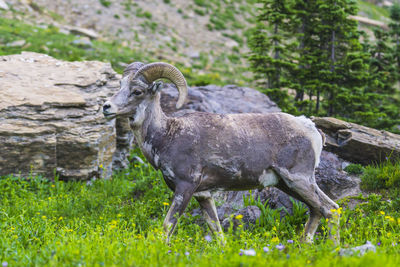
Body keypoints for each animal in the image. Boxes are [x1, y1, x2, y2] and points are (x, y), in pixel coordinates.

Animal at [103, 61, 340, 244]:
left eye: (137, 91)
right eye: (121, 85)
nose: (106, 107)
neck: (168, 135)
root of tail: (311, 129)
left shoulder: (185, 187)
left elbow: (167, 226)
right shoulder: (203, 195)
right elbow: (216, 231)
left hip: (299, 180)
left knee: (330, 209)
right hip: (287, 184)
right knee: (317, 210)